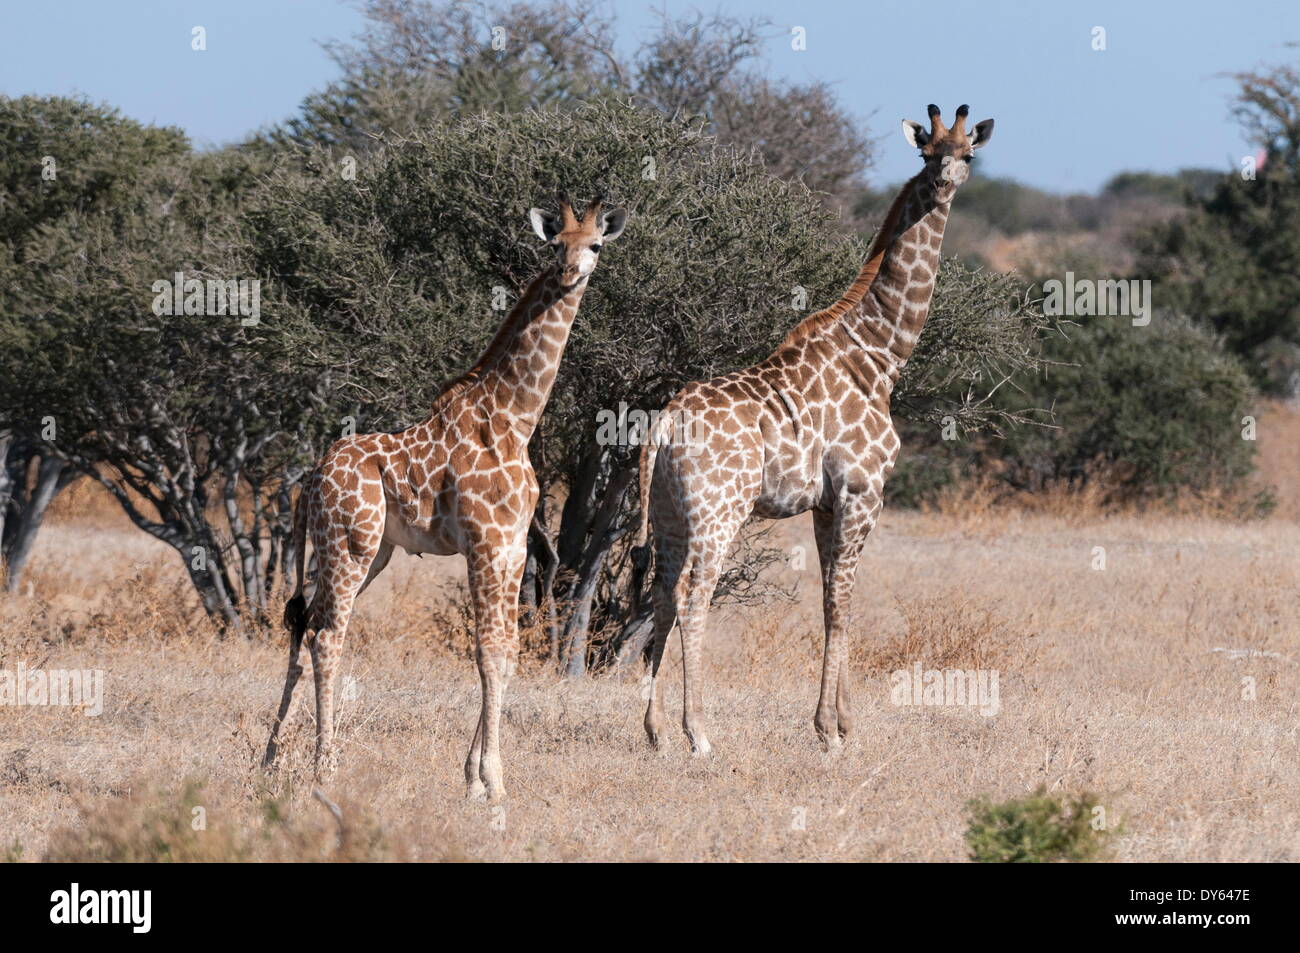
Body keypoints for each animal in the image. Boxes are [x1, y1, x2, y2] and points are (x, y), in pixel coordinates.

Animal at [262, 195, 627, 801]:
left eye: (595, 244)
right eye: (555, 243)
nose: (569, 272)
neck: (514, 418)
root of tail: (311, 478)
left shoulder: (514, 547)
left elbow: (508, 653)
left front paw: (475, 776)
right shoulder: (484, 541)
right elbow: (487, 652)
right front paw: (492, 781)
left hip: (368, 553)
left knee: (305, 624)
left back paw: (271, 758)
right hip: (350, 544)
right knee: (327, 636)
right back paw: (325, 767)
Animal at [635, 104, 993, 755]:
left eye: (968, 154)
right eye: (926, 153)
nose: (944, 184)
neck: (878, 355)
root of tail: (667, 420)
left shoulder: (826, 503)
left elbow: (832, 598)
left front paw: (842, 721)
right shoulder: (862, 491)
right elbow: (841, 601)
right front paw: (830, 730)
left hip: (669, 511)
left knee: (661, 590)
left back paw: (655, 730)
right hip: (719, 510)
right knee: (695, 594)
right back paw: (699, 733)